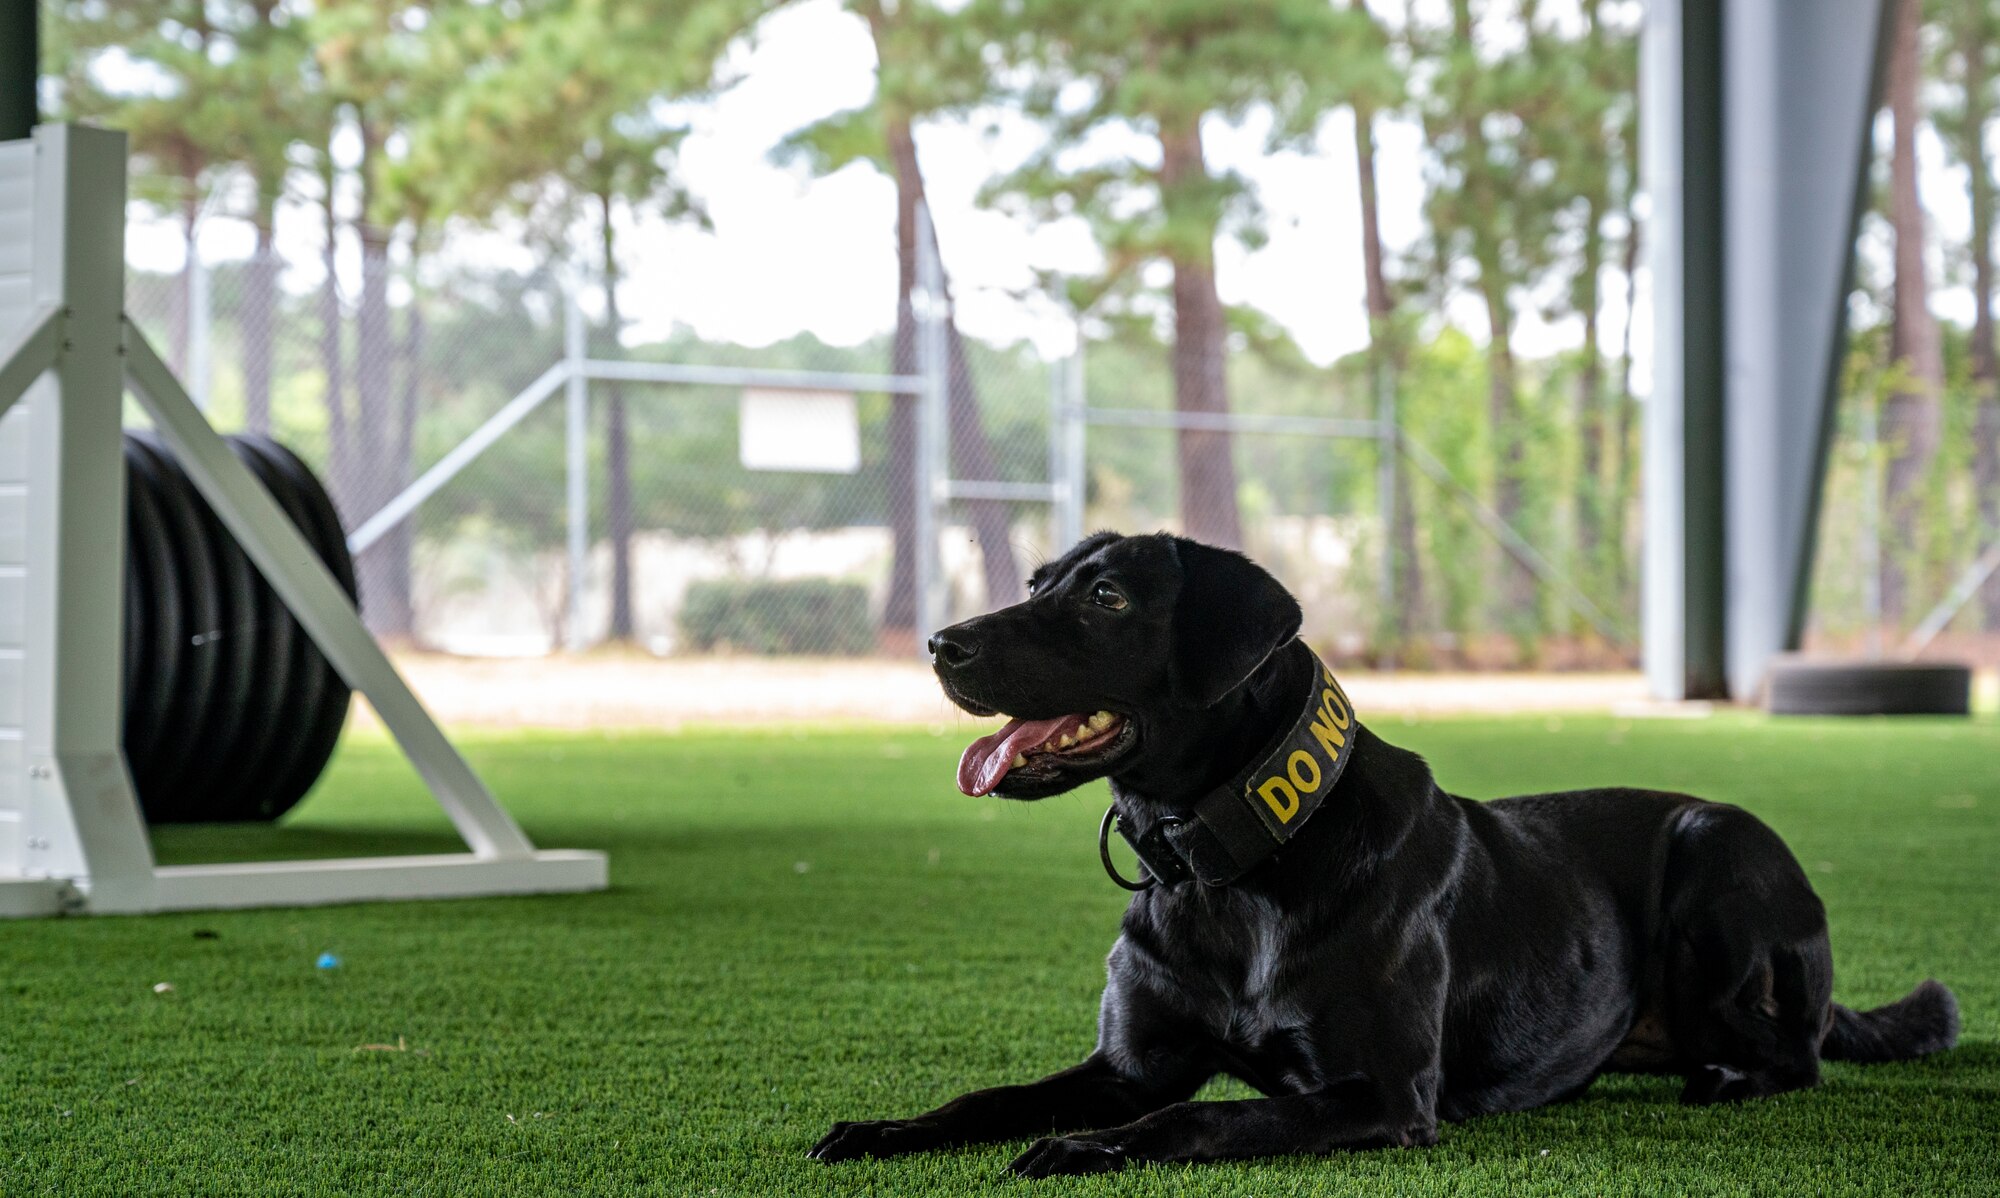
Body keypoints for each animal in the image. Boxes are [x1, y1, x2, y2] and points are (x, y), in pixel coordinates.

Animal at [808, 536, 1952, 1184]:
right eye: (1039, 580)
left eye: (1106, 600)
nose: (940, 643)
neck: (1226, 873)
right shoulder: (1123, 1066)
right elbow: (984, 1098)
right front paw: (880, 1128)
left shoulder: (1383, 1094)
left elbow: (1203, 1114)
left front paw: (1088, 1150)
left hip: (1717, 854)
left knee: (1798, 1049)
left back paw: (1728, 1075)